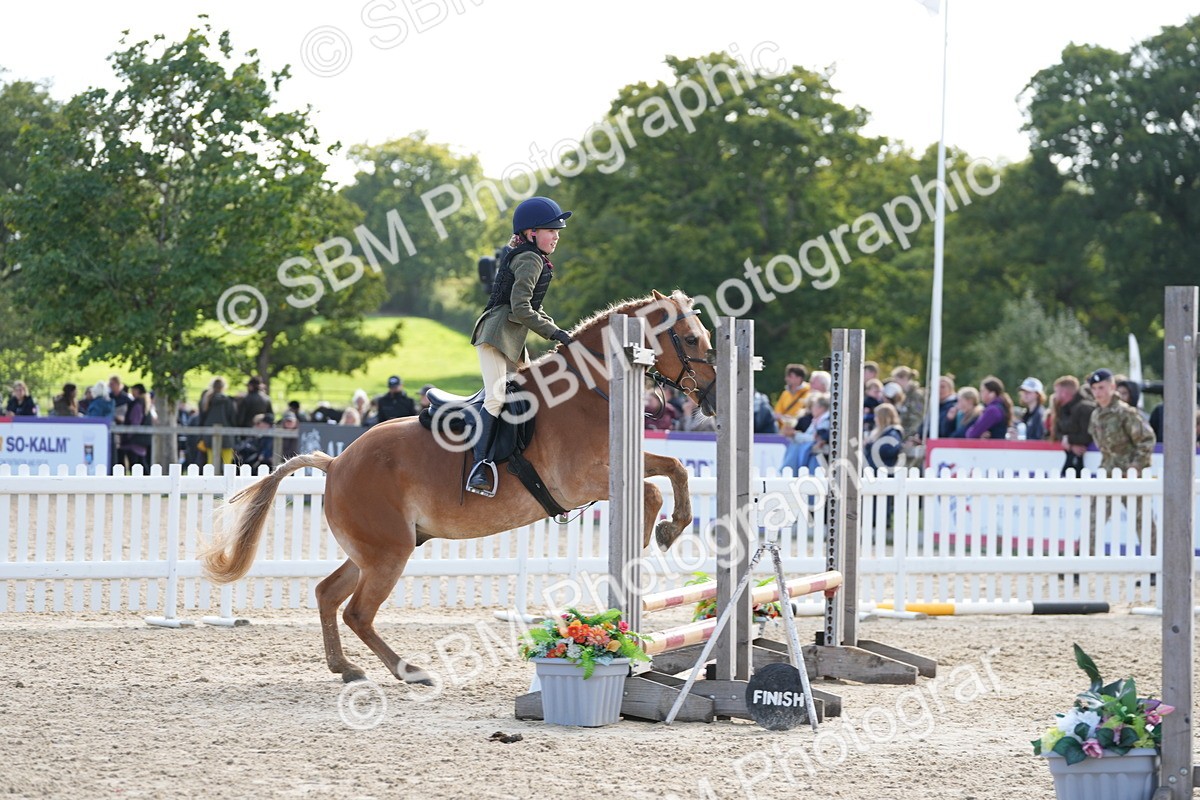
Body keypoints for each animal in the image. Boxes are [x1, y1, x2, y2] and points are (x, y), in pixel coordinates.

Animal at [203, 289, 717, 684]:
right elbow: (652, 489)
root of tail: (336, 462)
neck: (589, 391)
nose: (712, 399)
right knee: (357, 612)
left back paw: (346, 668)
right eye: (692, 338)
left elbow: (675, 467)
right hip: (388, 553)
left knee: (329, 594)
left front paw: (670, 528)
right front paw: (654, 535)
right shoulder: (581, 481)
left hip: (375, 549)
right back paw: (409, 671)